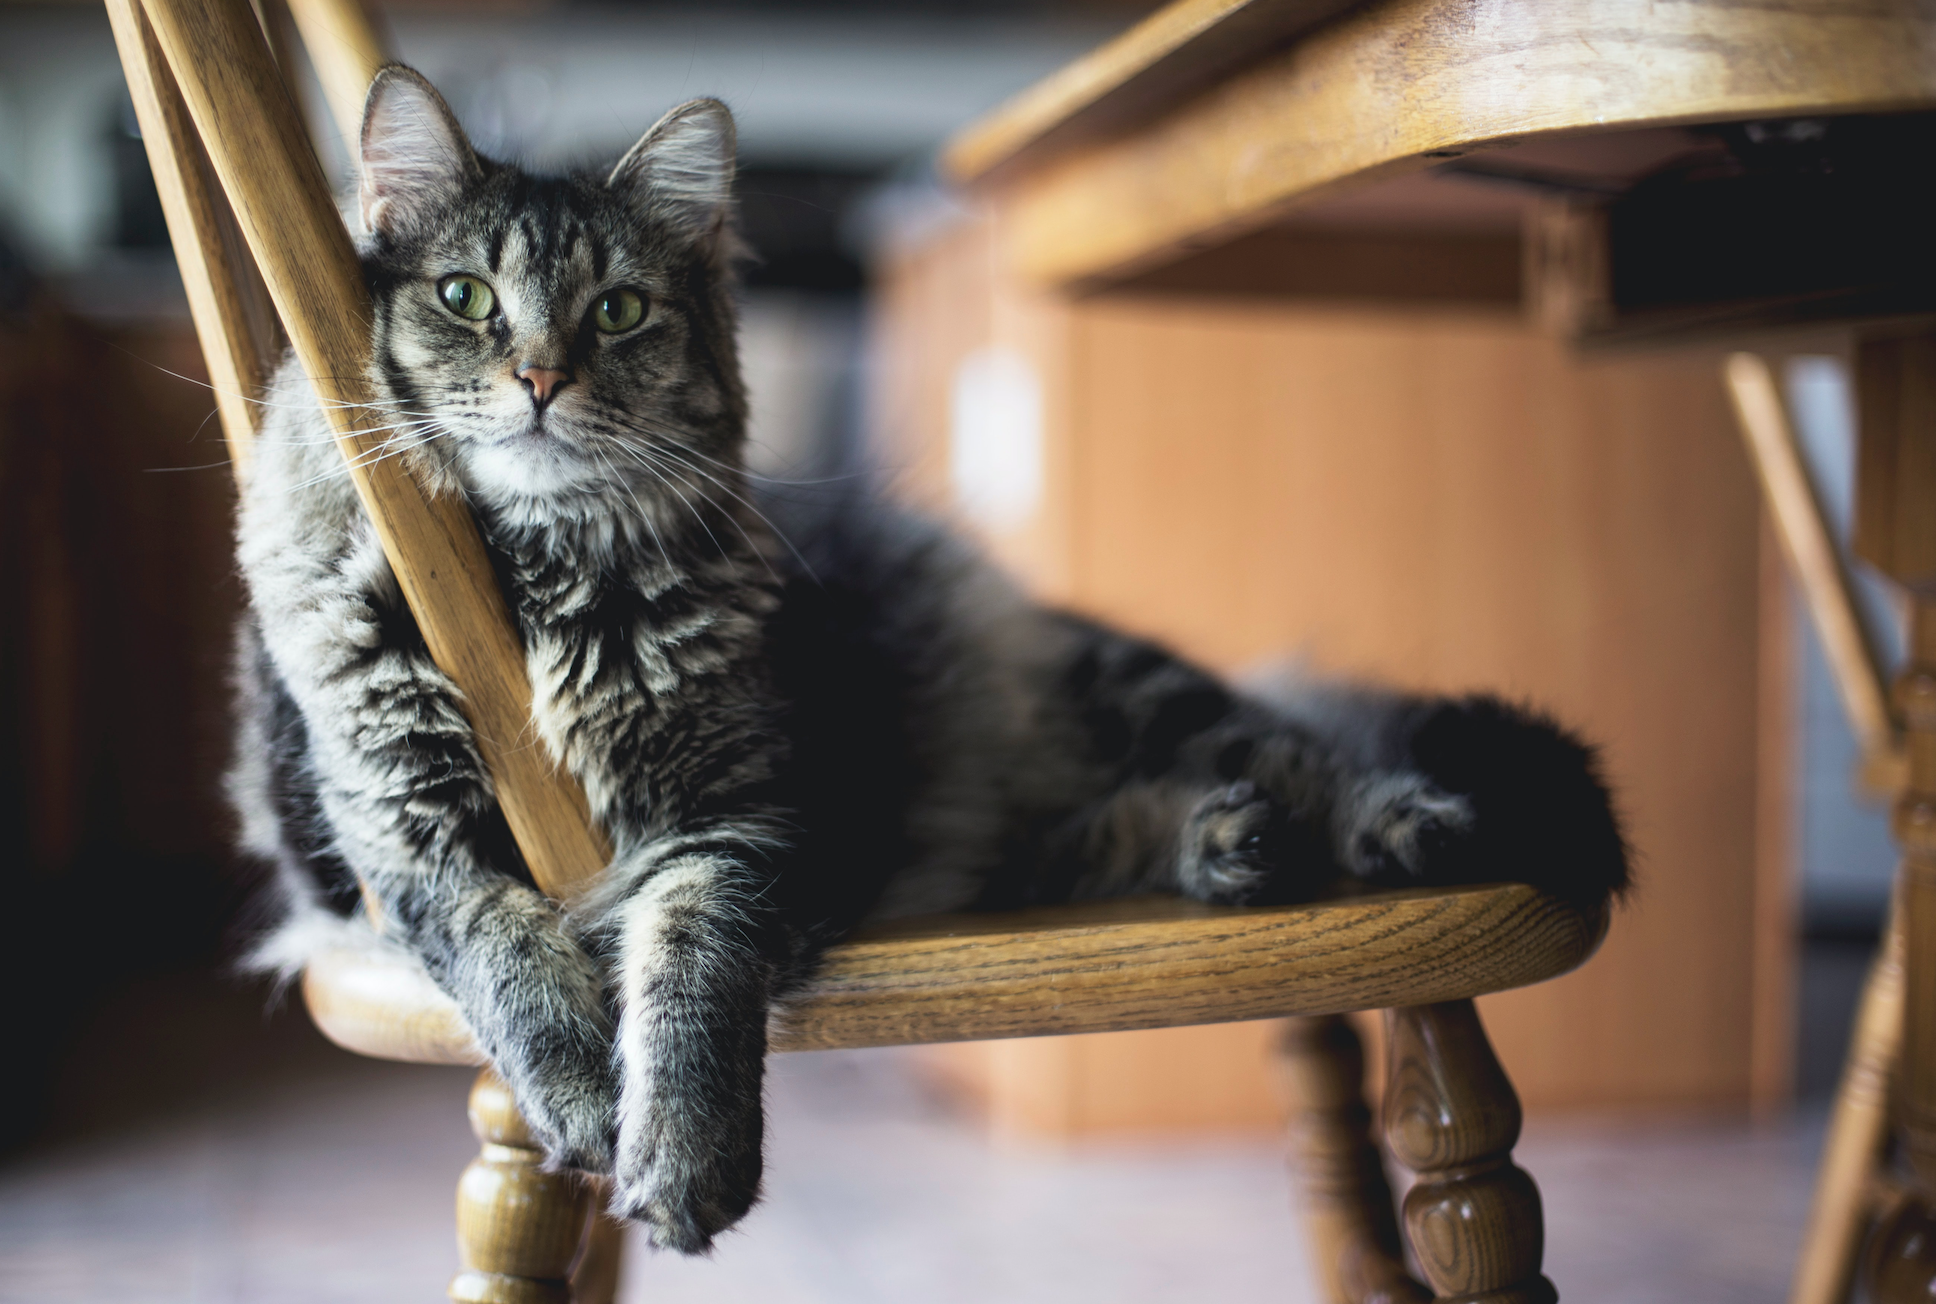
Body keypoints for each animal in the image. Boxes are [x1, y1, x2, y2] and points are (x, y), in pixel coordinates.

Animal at [230, 65, 1633, 1253]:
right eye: (465, 296)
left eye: (619, 311)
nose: (537, 377)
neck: (532, 579)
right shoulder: (400, 834)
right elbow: (506, 952)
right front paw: (581, 1094)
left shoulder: (736, 823)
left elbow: (687, 981)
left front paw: (680, 1156)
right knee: (1115, 821)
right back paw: (1225, 844)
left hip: (1134, 699)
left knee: (1303, 750)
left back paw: (1396, 823)